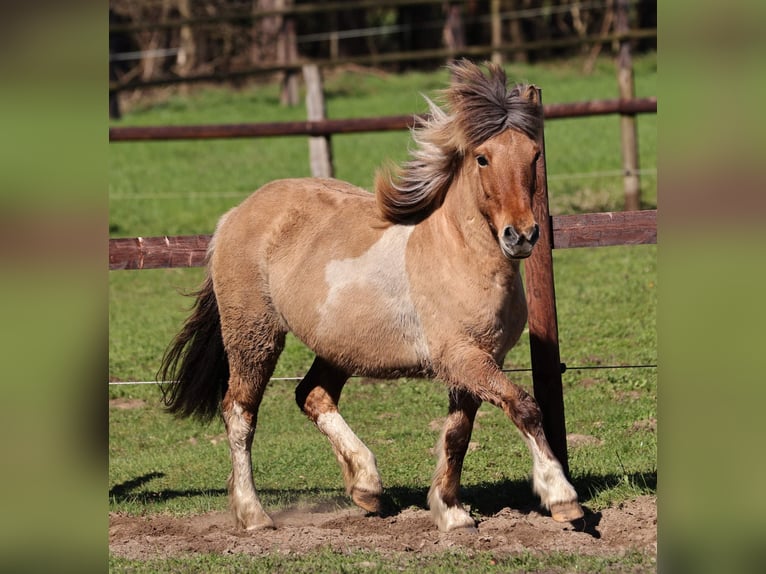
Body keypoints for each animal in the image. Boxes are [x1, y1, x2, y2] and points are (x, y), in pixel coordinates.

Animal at [159, 59, 584, 532]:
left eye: (534, 155)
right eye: (483, 157)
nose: (521, 236)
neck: (458, 253)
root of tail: (233, 215)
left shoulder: (476, 361)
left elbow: (458, 433)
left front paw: (451, 511)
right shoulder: (462, 357)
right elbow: (524, 406)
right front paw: (561, 496)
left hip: (338, 345)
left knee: (312, 395)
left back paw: (366, 488)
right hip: (254, 335)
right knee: (240, 414)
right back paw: (254, 514)